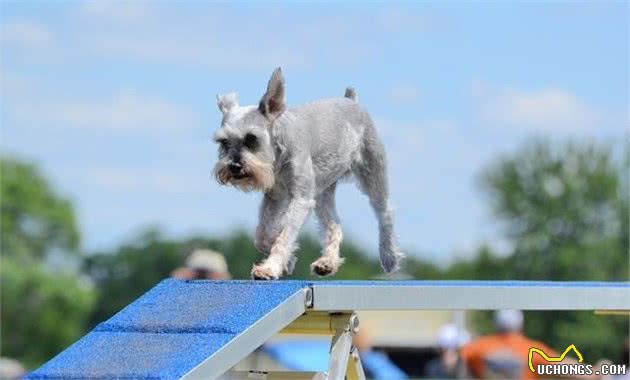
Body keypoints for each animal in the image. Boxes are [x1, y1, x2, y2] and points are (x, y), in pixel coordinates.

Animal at [215, 67, 404, 280]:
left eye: (251, 138)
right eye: (223, 142)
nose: (234, 167)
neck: (278, 154)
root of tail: (351, 100)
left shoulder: (301, 199)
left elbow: (285, 235)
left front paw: (269, 268)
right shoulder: (275, 197)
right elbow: (264, 236)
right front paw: (288, 261)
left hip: (373, 176)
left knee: (385, 213)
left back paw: (389, 257)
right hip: (322, 193)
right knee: (334, 225)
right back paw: (327, 263)